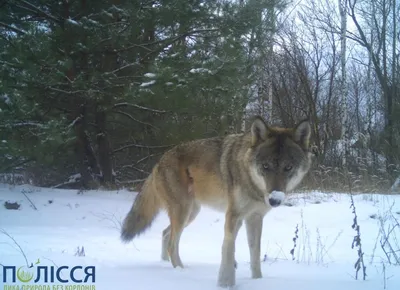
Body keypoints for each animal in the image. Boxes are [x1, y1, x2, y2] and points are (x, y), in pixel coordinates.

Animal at [120, 116, 314, 288]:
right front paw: (225, 283)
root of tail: (158, 162)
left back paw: (167, 266)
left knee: (165, 233)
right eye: (265, 166)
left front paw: (258, 281)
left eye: (288, 167)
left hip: (191, 214)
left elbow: (255, 255)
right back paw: (182, 273)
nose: (274, 200)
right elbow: (228, 250)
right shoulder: (233, 216)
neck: (251, 182)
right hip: (183, 212)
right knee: (171, 244)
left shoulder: (255, 217)